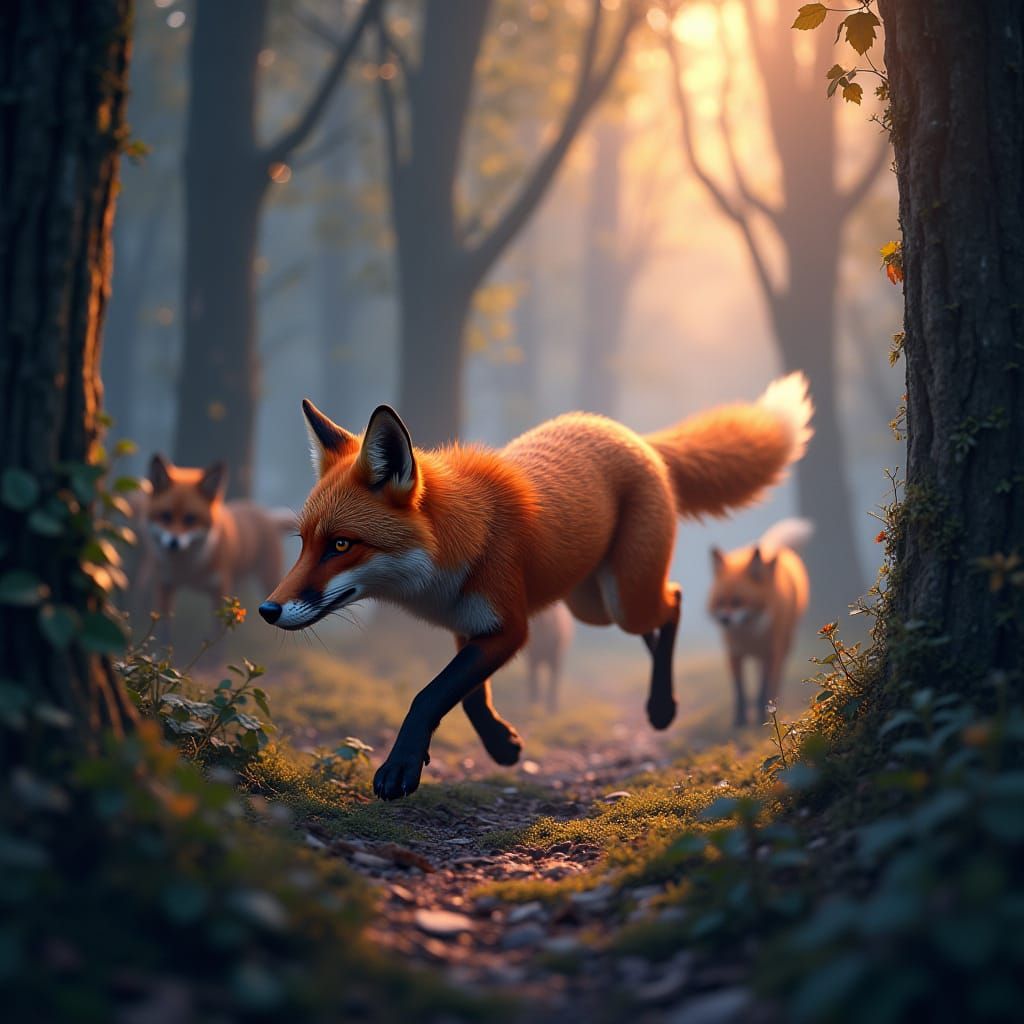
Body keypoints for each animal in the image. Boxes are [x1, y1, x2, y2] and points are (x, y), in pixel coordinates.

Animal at [141, 455, 296, 626]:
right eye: (166, 516)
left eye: (190, 518)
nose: (173, 543)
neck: (189, 570)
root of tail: (266, 514)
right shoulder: (165, 586)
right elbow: (164, 627)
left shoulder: (220, 590)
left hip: (269, 582)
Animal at [708, 517, 813, 727]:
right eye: (721, 602)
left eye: (738, 601)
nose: (724, 620)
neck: (750, 635)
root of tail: (769, 547)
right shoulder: (734, 654)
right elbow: (740, 693)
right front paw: (739, 721)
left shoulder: (771, 652)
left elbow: (763, 689)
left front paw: (760, 718)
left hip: (784, 646)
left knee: (776, 678)